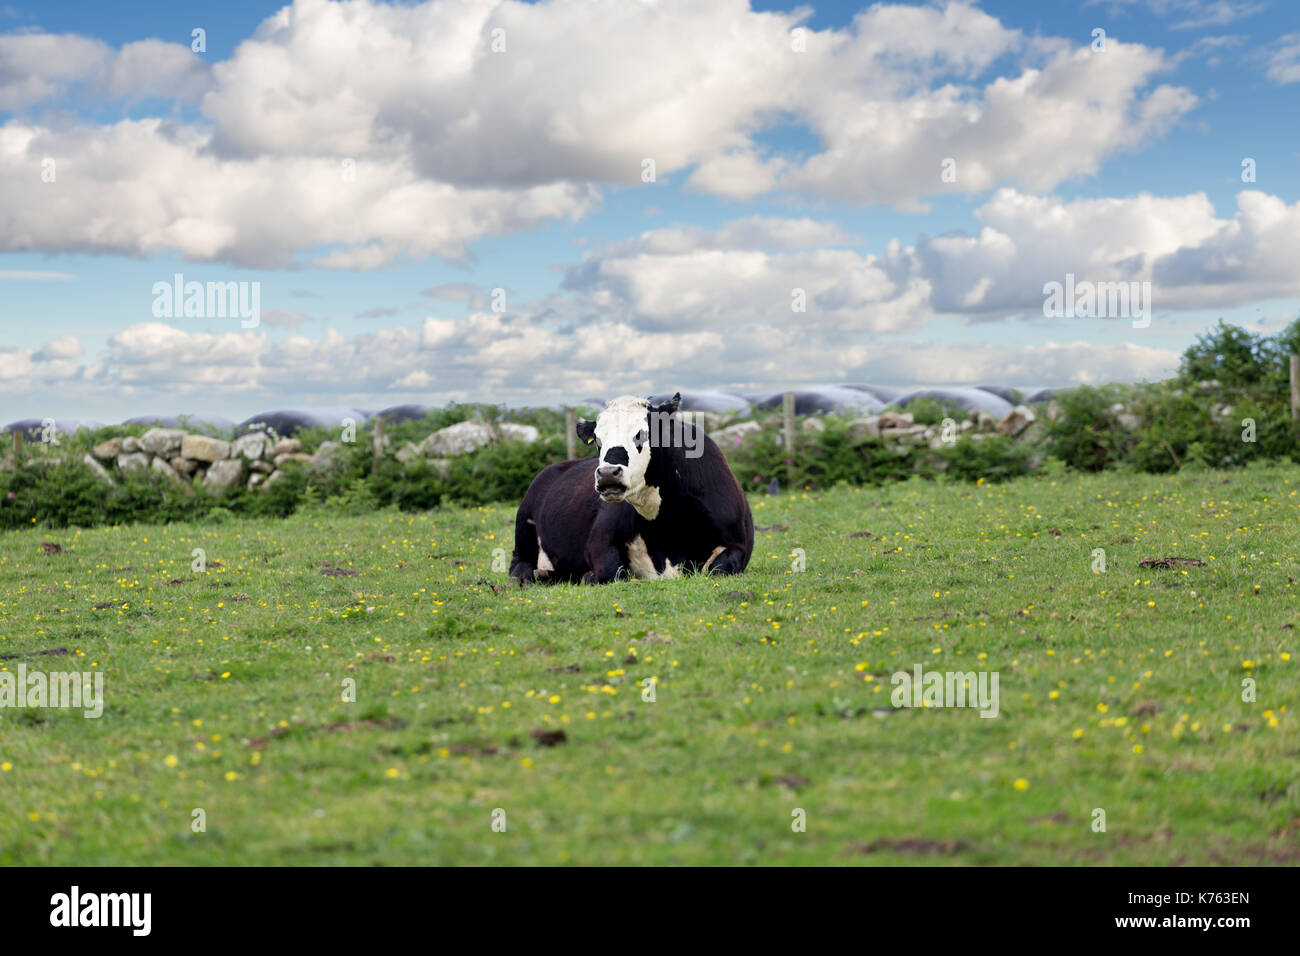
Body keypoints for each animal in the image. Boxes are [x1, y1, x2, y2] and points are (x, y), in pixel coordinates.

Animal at [508, 393, 754, 584]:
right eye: (598, 439)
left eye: (640, 434)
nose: (608, 473)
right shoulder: (600, 539)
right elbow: (611, 572)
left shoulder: (737, 544)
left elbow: (718, 568)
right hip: (523, 526)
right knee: (518, 565)